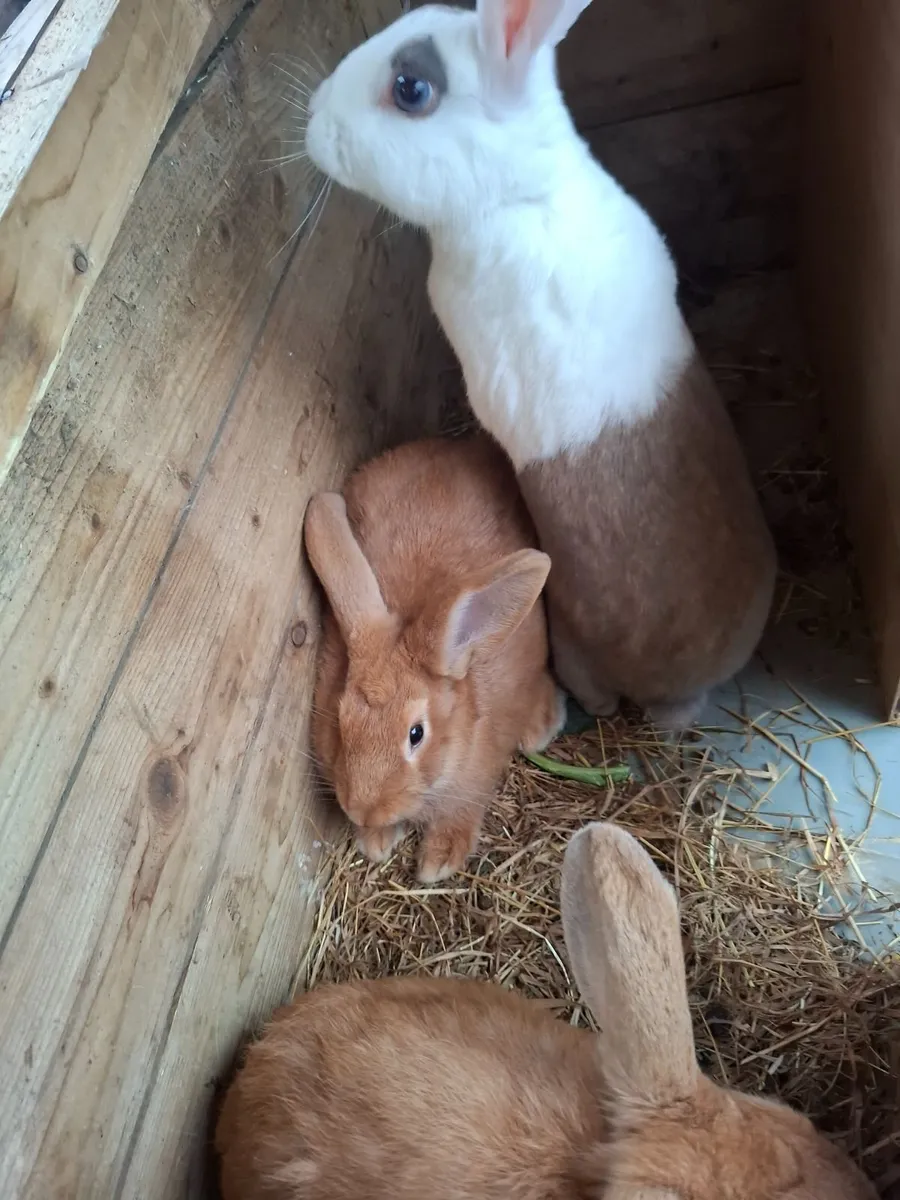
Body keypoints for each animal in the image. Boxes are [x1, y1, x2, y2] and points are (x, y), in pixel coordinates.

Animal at [302, 434, 565, 883]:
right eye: (339, 720)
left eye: (416, 734)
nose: (364, 809)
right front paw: (376, 841)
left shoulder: (473, 782)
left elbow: (460, 813)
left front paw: (439, 861)